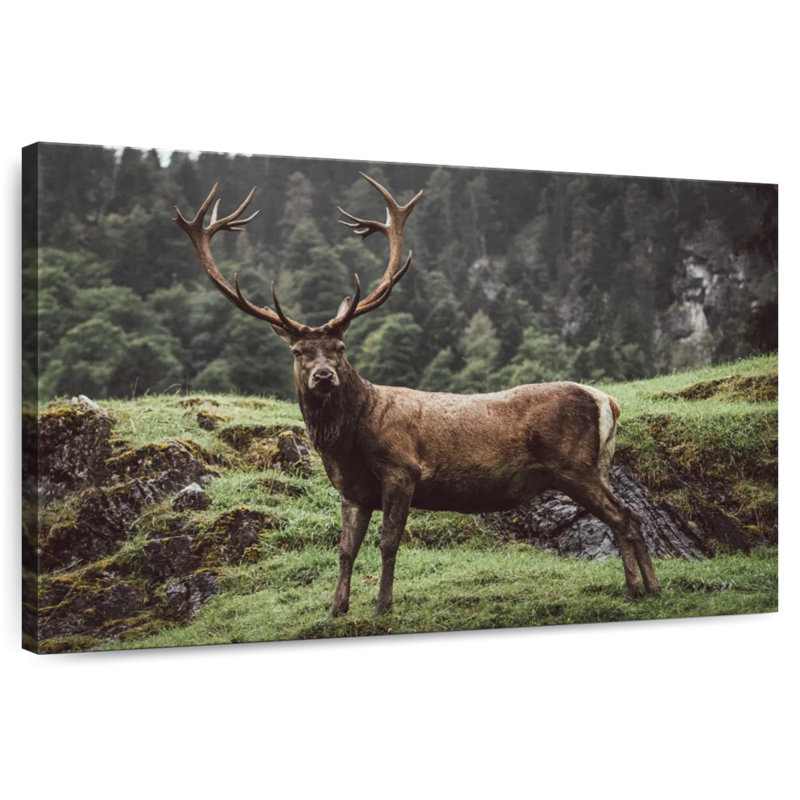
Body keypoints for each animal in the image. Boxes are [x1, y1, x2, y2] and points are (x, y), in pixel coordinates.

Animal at [174, 172, 661, 617]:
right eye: (298, 352)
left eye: (341, 347)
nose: (324, 377)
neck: (347, 445)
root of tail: (608, 401)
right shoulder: (353, 492)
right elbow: (345, 549)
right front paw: (336, 609)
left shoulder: (402, 470)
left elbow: (389, 542)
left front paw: (382, 606)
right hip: (595, 466)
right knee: (629, 516)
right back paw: (645, 588)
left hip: (574, 465)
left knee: (624, 517)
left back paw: (641, 589)